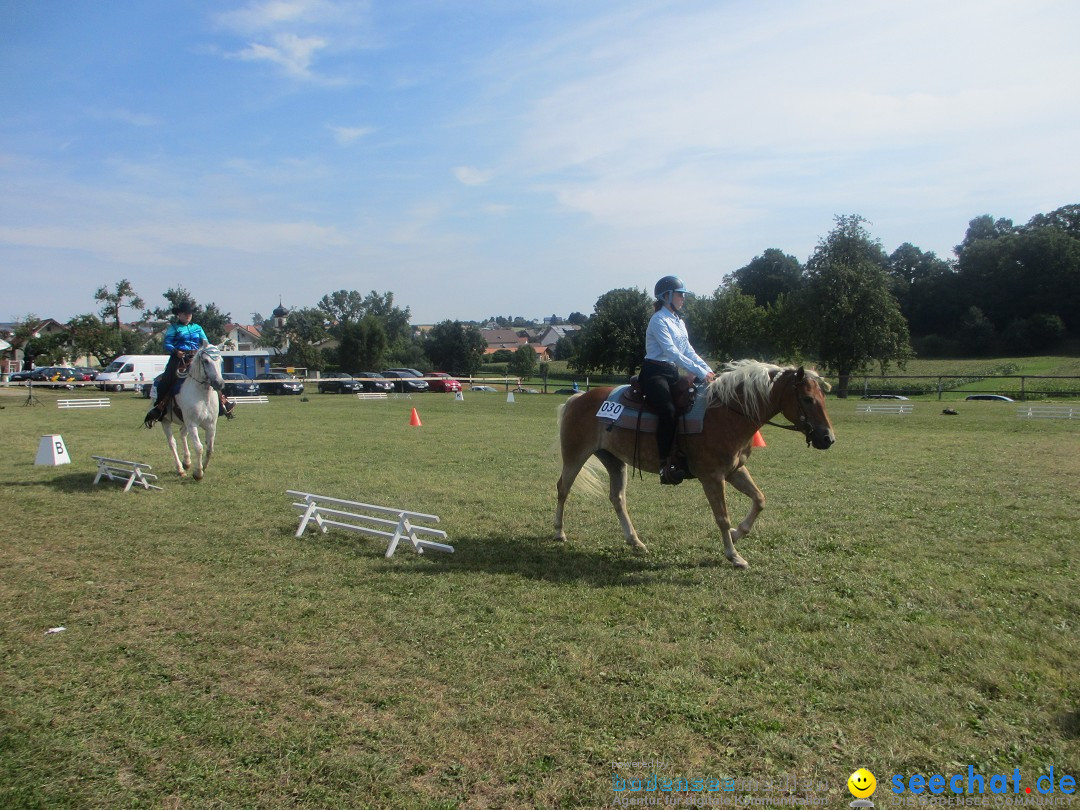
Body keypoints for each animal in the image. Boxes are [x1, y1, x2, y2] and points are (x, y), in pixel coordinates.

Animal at [159, 343, 223, 481]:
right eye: (206, 361)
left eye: (221, 360)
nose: (219, 383)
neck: (203, 396)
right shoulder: (192, 424)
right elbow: (199, 447)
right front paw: (198, 473)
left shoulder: (211, 425)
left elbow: (210, 448)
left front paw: (204, 467)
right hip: (166, 421)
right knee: (172, 443)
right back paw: (180, 469)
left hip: (185, 422)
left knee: (182, 434)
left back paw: (187, 462)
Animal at [557, 360, 833, 570]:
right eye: (807, 399)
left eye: (823, 397)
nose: (828, 438)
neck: (726, 413)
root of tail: (578, 398)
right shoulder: (712, 477)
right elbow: (722, 516)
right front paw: (734, 555)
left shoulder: (734, 471)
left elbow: (760, 499)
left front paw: (737, 534)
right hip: (575, 456)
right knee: (563, 489)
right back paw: (559, 532)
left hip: (615, 461)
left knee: (617, 498)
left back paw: (635, 542)